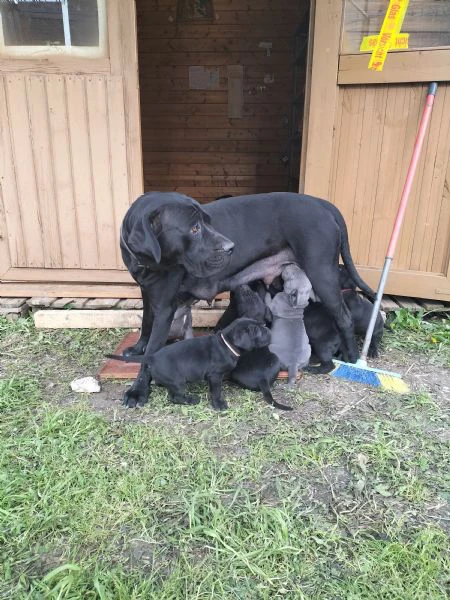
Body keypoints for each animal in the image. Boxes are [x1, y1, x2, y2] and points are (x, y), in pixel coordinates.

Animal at [109, 316, 270, 410]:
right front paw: (219, 405)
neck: (226, 343)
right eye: (257, 331)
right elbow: (216, 391)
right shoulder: (215, 375)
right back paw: (191, 399)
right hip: (178, 381)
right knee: (175, 397)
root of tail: (152, 357)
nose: (269, 330)